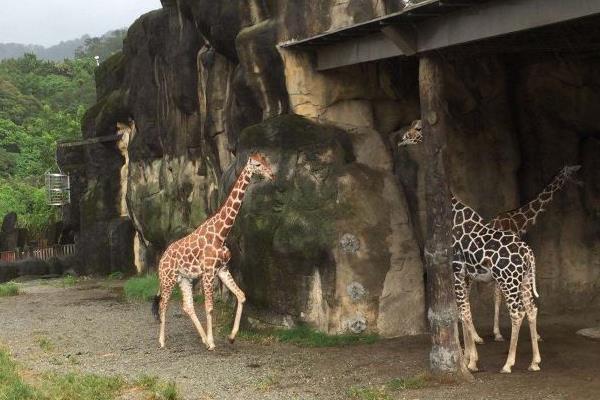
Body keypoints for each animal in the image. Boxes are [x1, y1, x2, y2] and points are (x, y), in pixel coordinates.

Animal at [151, 153, 276, 350]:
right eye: (257, 165)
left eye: (266, 161)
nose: (272, 175)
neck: (221, 233)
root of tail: (162, 258)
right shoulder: (209, 272)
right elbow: (209, 307)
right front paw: (212, 342)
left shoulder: (222, 269)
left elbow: (241, 296)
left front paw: (231, 337)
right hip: (168, 278)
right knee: (163, 304)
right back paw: (162, 341)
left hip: (184, 279)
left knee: (187, 306)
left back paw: (202, 338)